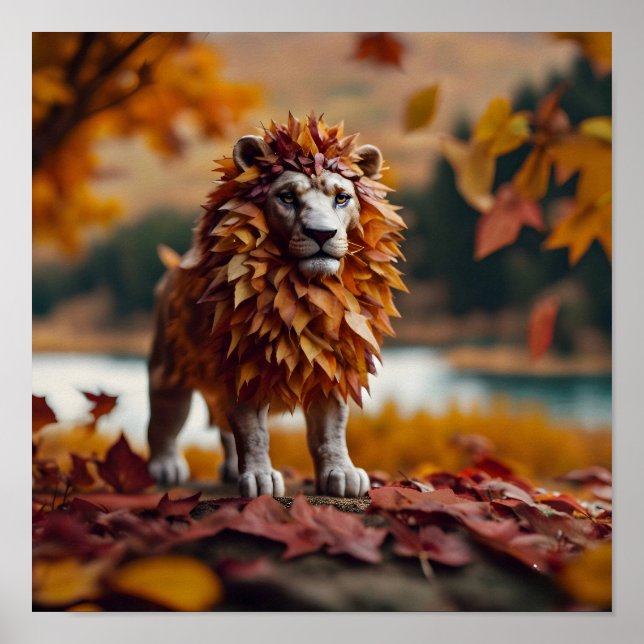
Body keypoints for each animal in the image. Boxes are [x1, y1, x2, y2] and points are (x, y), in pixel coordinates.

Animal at [147, 112, 407, 498]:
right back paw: (165, 467)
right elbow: (253, 431)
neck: (304, 295)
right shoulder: (242, 363)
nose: (322, 234)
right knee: (164, 419)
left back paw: (229, 469)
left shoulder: (334, 363)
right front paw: (259, 478)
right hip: (168, 368)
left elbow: (331, 428)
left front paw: (341, 474)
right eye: (287, 197)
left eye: (342, 198)